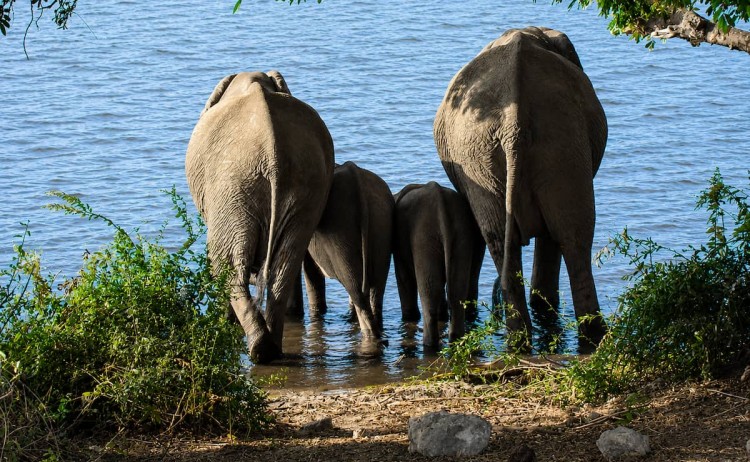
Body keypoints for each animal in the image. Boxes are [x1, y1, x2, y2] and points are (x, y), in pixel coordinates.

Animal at [185, 70, 334, 364]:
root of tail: (272, 157)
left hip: (232, 192)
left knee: (228, 265)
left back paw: (258, 349)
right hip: (303, 192)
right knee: (285, 264)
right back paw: (270, 348)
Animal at [393, 182, 485, 349]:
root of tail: (442, 206)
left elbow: (404, 279)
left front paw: (409, 319)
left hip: (424, 239)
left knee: (429, 294)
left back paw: (429, 346)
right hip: (461, 236)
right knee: (456, 292)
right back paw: (455, 339)